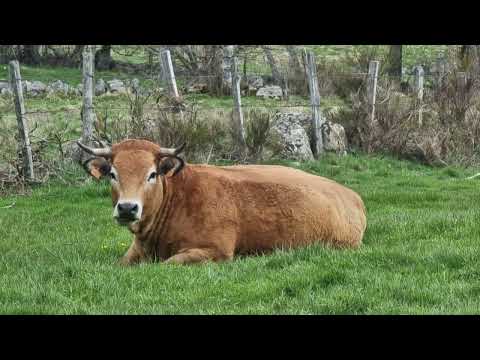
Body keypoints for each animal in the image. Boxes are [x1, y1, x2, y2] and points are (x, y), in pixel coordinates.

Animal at [77, 138, 366, 264]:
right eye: (113, 174)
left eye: (152, 174)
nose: (127, 208)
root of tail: (351, 196)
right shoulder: (135, 251)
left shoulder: (215, 251)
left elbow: (169, 263)